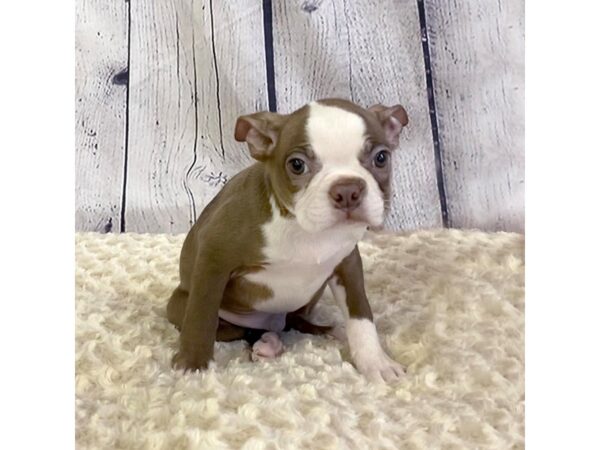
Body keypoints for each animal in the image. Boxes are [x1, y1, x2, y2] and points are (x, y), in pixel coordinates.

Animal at [169, 98, 410, 384]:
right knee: (235, 329)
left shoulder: (347, 264)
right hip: (183, 306)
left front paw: (375, 362)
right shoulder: (213, 255)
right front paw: (192, 364)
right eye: (297, 165)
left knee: (295, 322)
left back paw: (327, 330)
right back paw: (268, 343)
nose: (348, 190)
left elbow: (361, 315)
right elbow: (201, 314)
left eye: (381, 158)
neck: (306, 230)